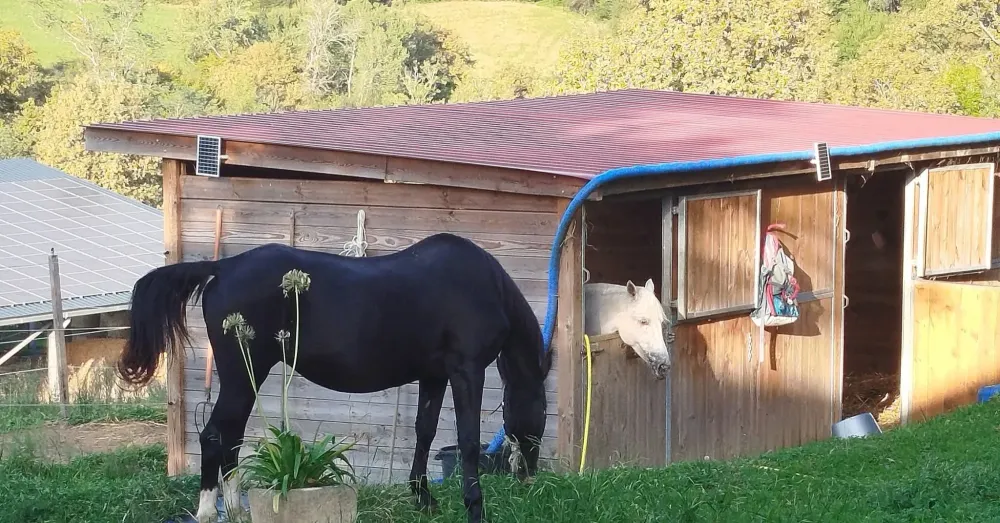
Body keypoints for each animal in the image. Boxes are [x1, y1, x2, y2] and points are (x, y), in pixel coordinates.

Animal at [116, 233, 552, 523]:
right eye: (544, 411)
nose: (529, 477)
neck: (483, 285)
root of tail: (222, 267)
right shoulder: (466, 371)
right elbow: (467, 441)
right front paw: (474, 509)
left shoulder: (434, 375)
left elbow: (425, 431)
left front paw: (424, 499)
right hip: (243, 375)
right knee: (215, 438)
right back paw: (210, 512)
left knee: (230, 439)